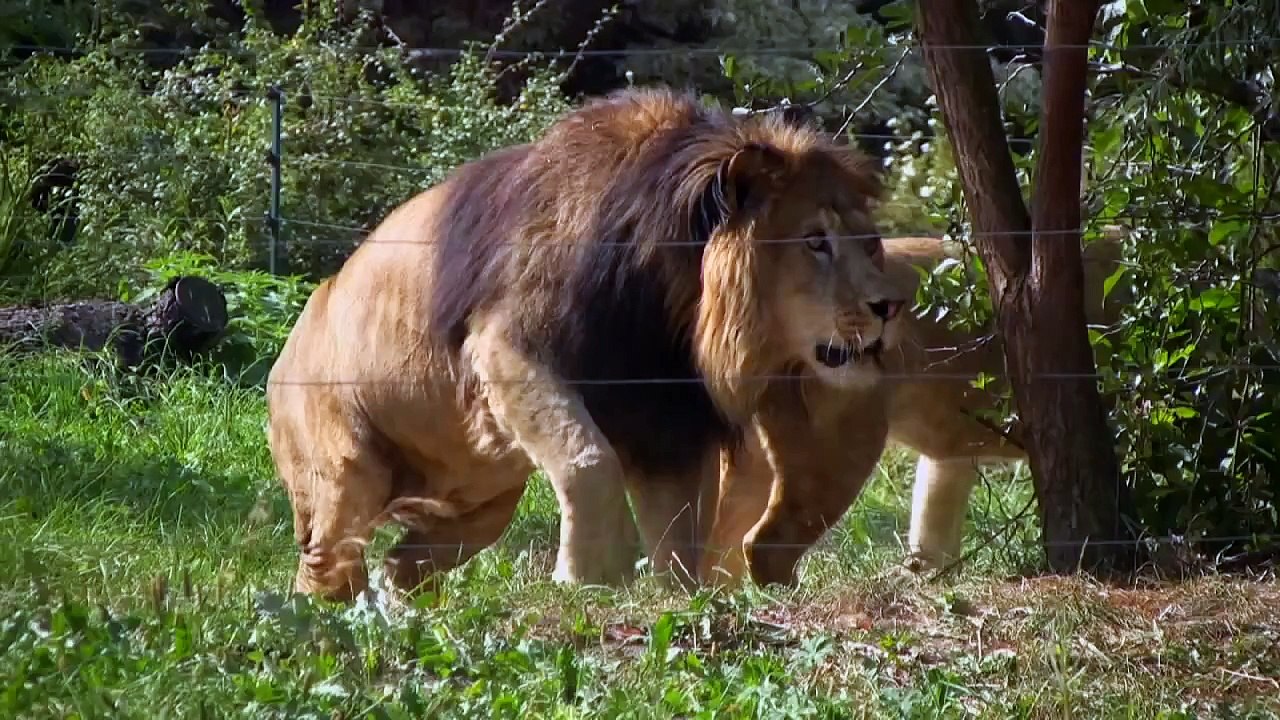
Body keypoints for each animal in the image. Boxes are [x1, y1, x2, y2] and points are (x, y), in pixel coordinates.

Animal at [265, 85, 912, 602]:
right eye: (815, 241)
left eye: (868, 241)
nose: (890, 306)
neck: (674, 306)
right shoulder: (509, 347)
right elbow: (589, 460)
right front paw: (591, 577)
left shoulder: (669, 421)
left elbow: (681, 532)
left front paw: (680, 598)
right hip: (346, 468)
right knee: (328, 555)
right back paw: (327, 614)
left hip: (481, 505)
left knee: (407, 562)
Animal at [700, 232, 1128, 585]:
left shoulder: (951, 451)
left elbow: (933, 516)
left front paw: (920, 575)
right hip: (838, 450)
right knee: (764, 545)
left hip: (750, 462)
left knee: (711, 546)